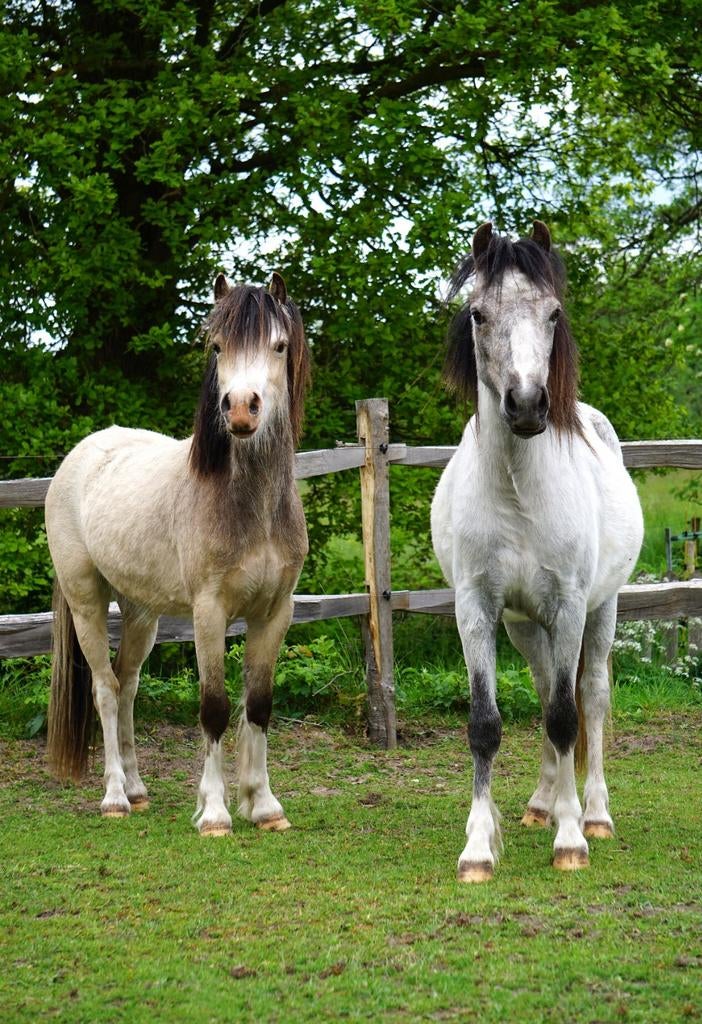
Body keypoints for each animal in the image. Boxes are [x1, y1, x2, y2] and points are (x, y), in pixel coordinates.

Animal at [46, 272, 310, 836]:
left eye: (278, 346)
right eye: (217, 346)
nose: (240, 407)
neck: (249, 506)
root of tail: (80, 455)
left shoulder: (275, 612)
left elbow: (259, 705)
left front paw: (264, 806)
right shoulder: (209, 613)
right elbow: (214, 707)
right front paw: (215, 813)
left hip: (141, 611)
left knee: (127, 684)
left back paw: (138, 789)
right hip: (86, 601)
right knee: (105, 689)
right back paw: (115, 797)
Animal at [431, 222, 644, 881]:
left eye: (553, 314)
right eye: (478, 314)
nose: (526, 405)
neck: (521, 491)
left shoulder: (571, 606)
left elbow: (566, 716)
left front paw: (571, 840)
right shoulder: (476, 609)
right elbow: (487, 723)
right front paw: (478, 847)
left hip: (601, 611)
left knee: (590, 697)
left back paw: (593, 813)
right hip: (526, 625)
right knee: (549, 680)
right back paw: (542, 803)